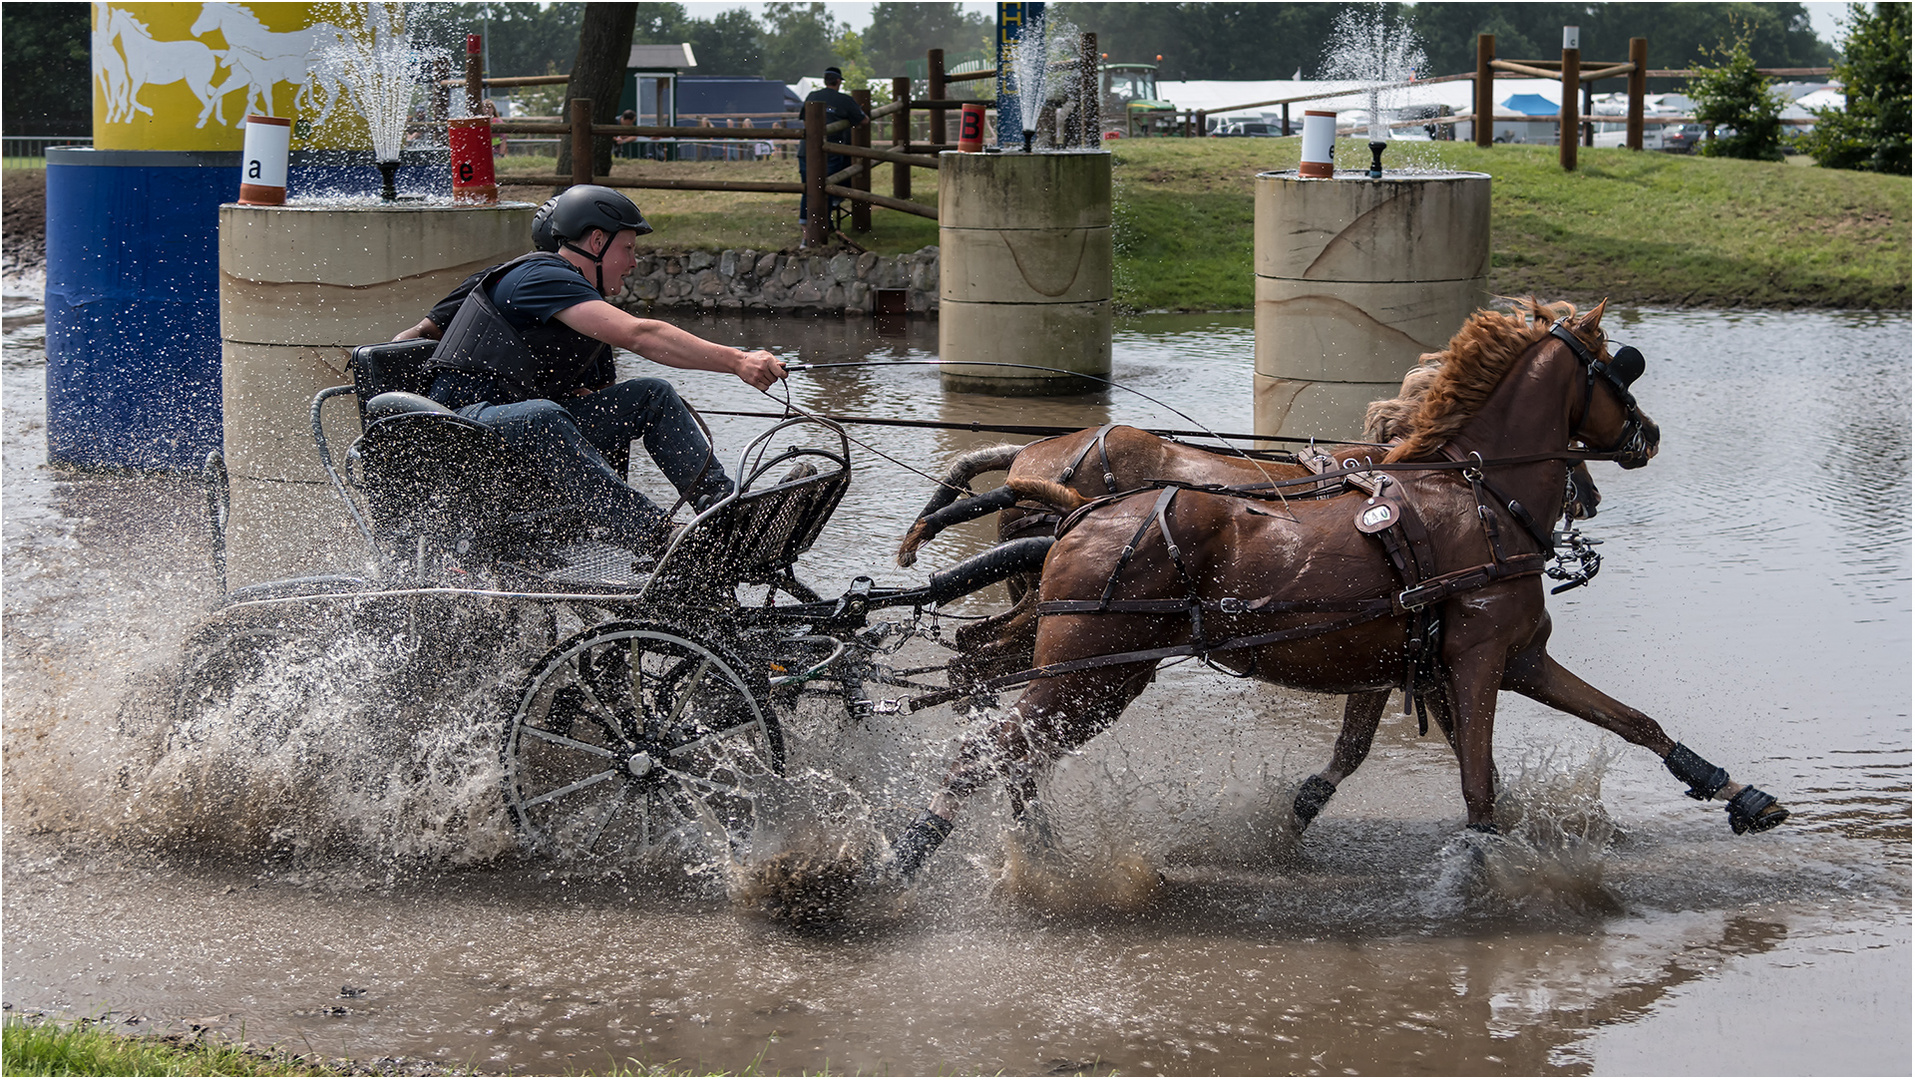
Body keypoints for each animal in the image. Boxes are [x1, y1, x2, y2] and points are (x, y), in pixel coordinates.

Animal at [888, 302, 1784, 877]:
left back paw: (1031, 848)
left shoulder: (1473, 659)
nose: (1648, 436)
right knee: (988, 749)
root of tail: (1069, 496)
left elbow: (1631, 721)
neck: (1476, 497)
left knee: (991, 708)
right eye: (1618, 371)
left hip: (1079, 665)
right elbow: (1476, 780)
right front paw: (1473, 866)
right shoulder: (1475, 660)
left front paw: (1736, 792)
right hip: (1090, 671)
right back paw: (907, 858)